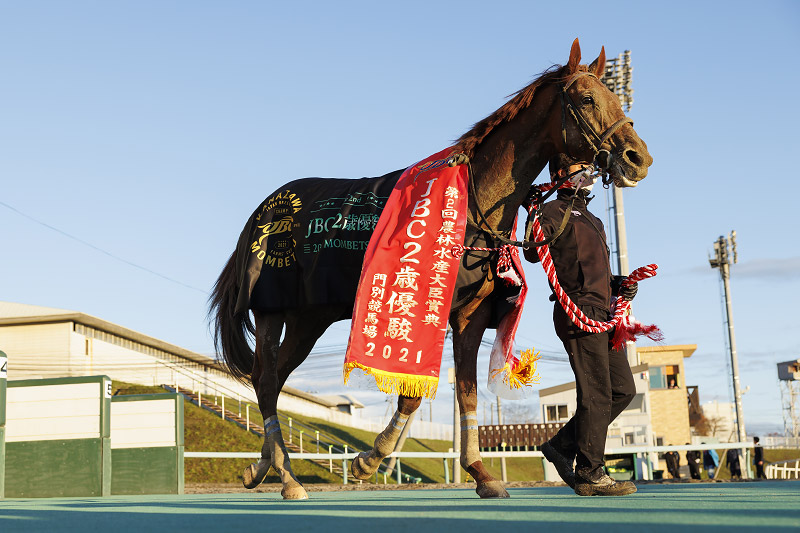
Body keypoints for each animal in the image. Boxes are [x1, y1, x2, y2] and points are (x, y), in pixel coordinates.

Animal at [209, 40, 652, 498]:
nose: (638, 157)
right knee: (265, 381)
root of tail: (263, 210)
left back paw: (261, 467)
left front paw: (481, 473)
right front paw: (371, 459)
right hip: (271, 310)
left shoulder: (471, 313)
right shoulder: (423, 306)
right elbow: (412, 392)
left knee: (272, 378)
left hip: (308, 317)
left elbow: (467, 393)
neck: (470, 205)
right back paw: (288, 477)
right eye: (586, 99)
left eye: (614, 97)